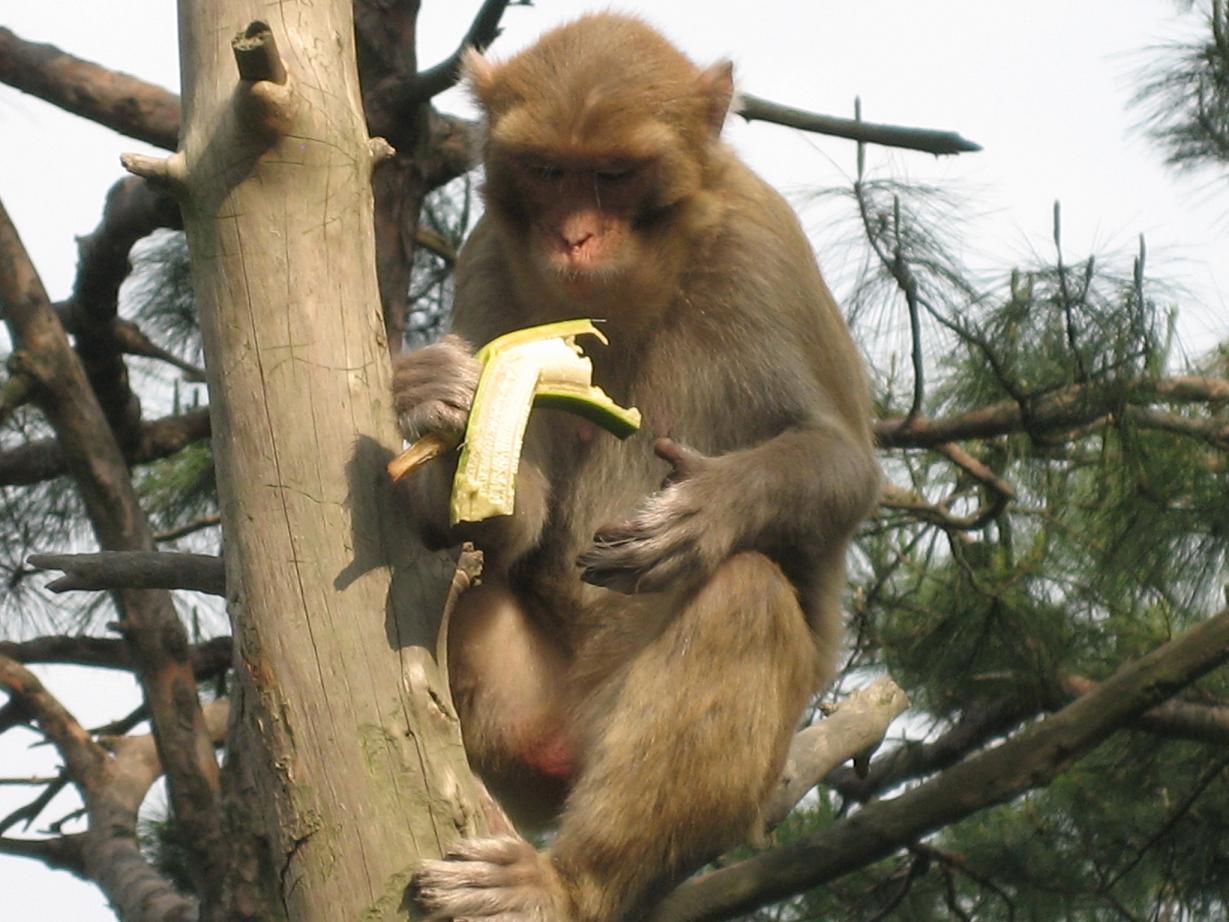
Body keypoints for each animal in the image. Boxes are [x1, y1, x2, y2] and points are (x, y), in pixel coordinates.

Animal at [393, 13, 881, 922]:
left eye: (614, 176)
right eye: (549, 171)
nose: (574, 237)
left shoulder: (763, 245)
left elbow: (842, 463)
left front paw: (709, 504)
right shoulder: (486, 262)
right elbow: (507, 516)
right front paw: (439, 402)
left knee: (742, 594)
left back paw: (569, 883)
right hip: (521, 721)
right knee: (465, 574)